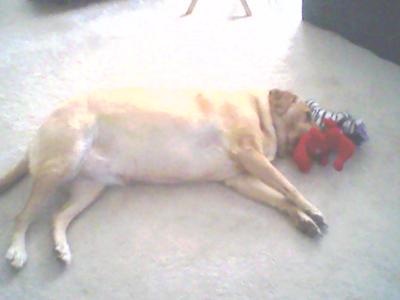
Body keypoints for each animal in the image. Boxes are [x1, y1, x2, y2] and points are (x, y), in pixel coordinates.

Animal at [0, 88, 324, 268]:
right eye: (308, 116)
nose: (321, 152)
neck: (261, 112)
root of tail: (35, 137)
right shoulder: (248, 154)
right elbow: (289, 187)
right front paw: (312, 209)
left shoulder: (240, 178)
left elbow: (280, 197)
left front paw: (302, 219)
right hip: (62, 163)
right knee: (22, 216)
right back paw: (17, 250)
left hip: (88, 189)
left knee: (57, 217)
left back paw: (61, 248)